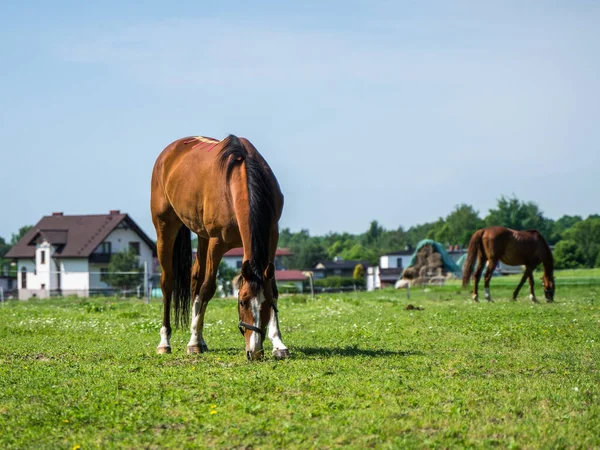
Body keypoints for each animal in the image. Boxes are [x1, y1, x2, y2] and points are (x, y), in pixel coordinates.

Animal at [151, 132, 290, 360]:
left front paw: (278, 344)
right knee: (167, 283)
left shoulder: (272, 237)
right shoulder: (217, 243)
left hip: (202, 236)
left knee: (195, 279)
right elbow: (208, 289)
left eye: (267, 303)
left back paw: (199, 337)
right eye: (242, 302)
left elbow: (274, 289)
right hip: (165, 227)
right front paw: (193, 343)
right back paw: (165, 342)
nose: (255, 351)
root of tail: (169, 152)